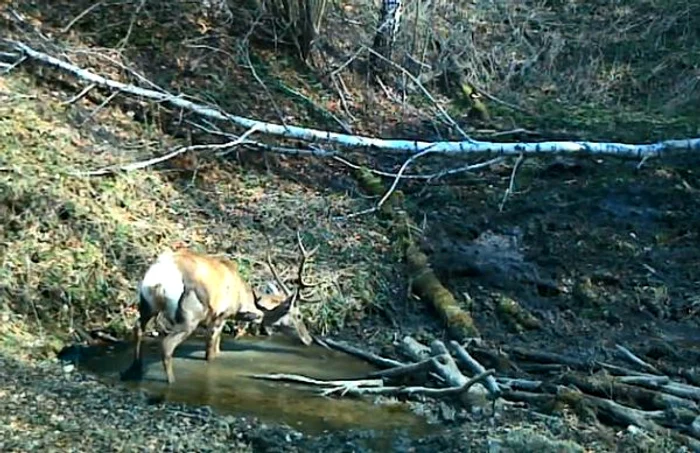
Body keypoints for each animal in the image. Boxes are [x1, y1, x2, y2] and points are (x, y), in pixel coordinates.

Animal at [120, 233, 318, 384]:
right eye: (299, 315)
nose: (309, 340)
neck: (242, 300)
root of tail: (158, 279)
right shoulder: (220, 316)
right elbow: (211, 352)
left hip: (146, 303)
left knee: (138, 329)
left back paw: (133, 371)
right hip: (190, 313)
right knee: (167, 344)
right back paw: (171, 381)